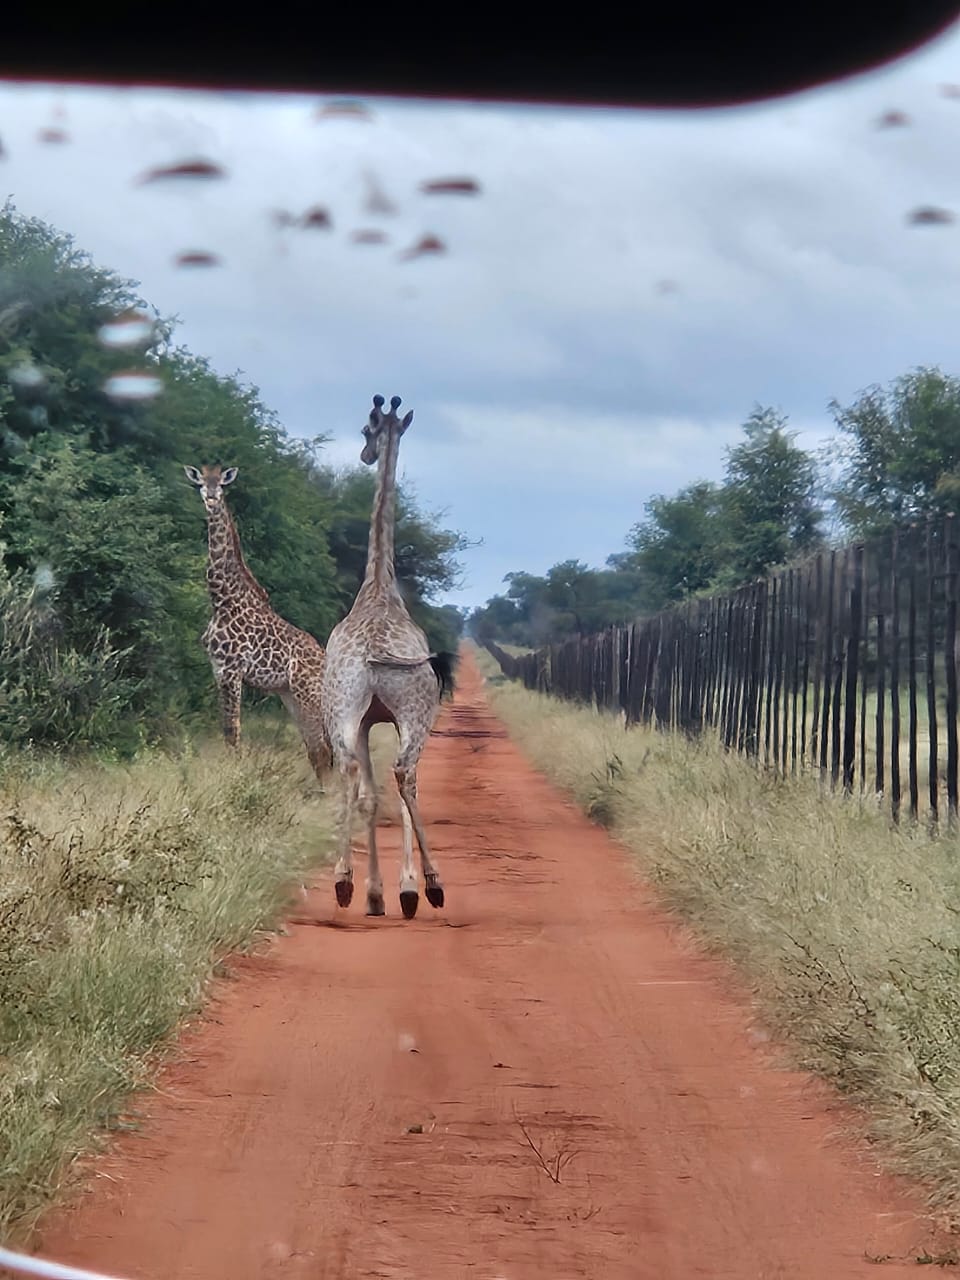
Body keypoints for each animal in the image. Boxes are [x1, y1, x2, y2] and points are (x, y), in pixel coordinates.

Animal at [183, 463, 331, 779]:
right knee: (318, 750)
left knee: (326, 749)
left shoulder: (233, 670)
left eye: (221, 484)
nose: (211, 497)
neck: (222, 599)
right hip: (290, 694)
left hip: (308, 692)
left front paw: (235, 777)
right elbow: (226, 729)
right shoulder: (217, 670)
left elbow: (233, 731)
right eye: (201, 483)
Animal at [320, 395, 456, 919]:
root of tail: (376, 652)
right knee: (403, 776)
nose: (364, 454)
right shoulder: (384, 718)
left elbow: (371, 796)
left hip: (342, 710)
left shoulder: (364, 719)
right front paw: (399, 889)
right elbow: (389, 797)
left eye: (366, 430)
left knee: (355, 773)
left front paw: (378, 891)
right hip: (414, 710)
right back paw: (428, 885)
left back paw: (346, 883)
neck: (379, 584)